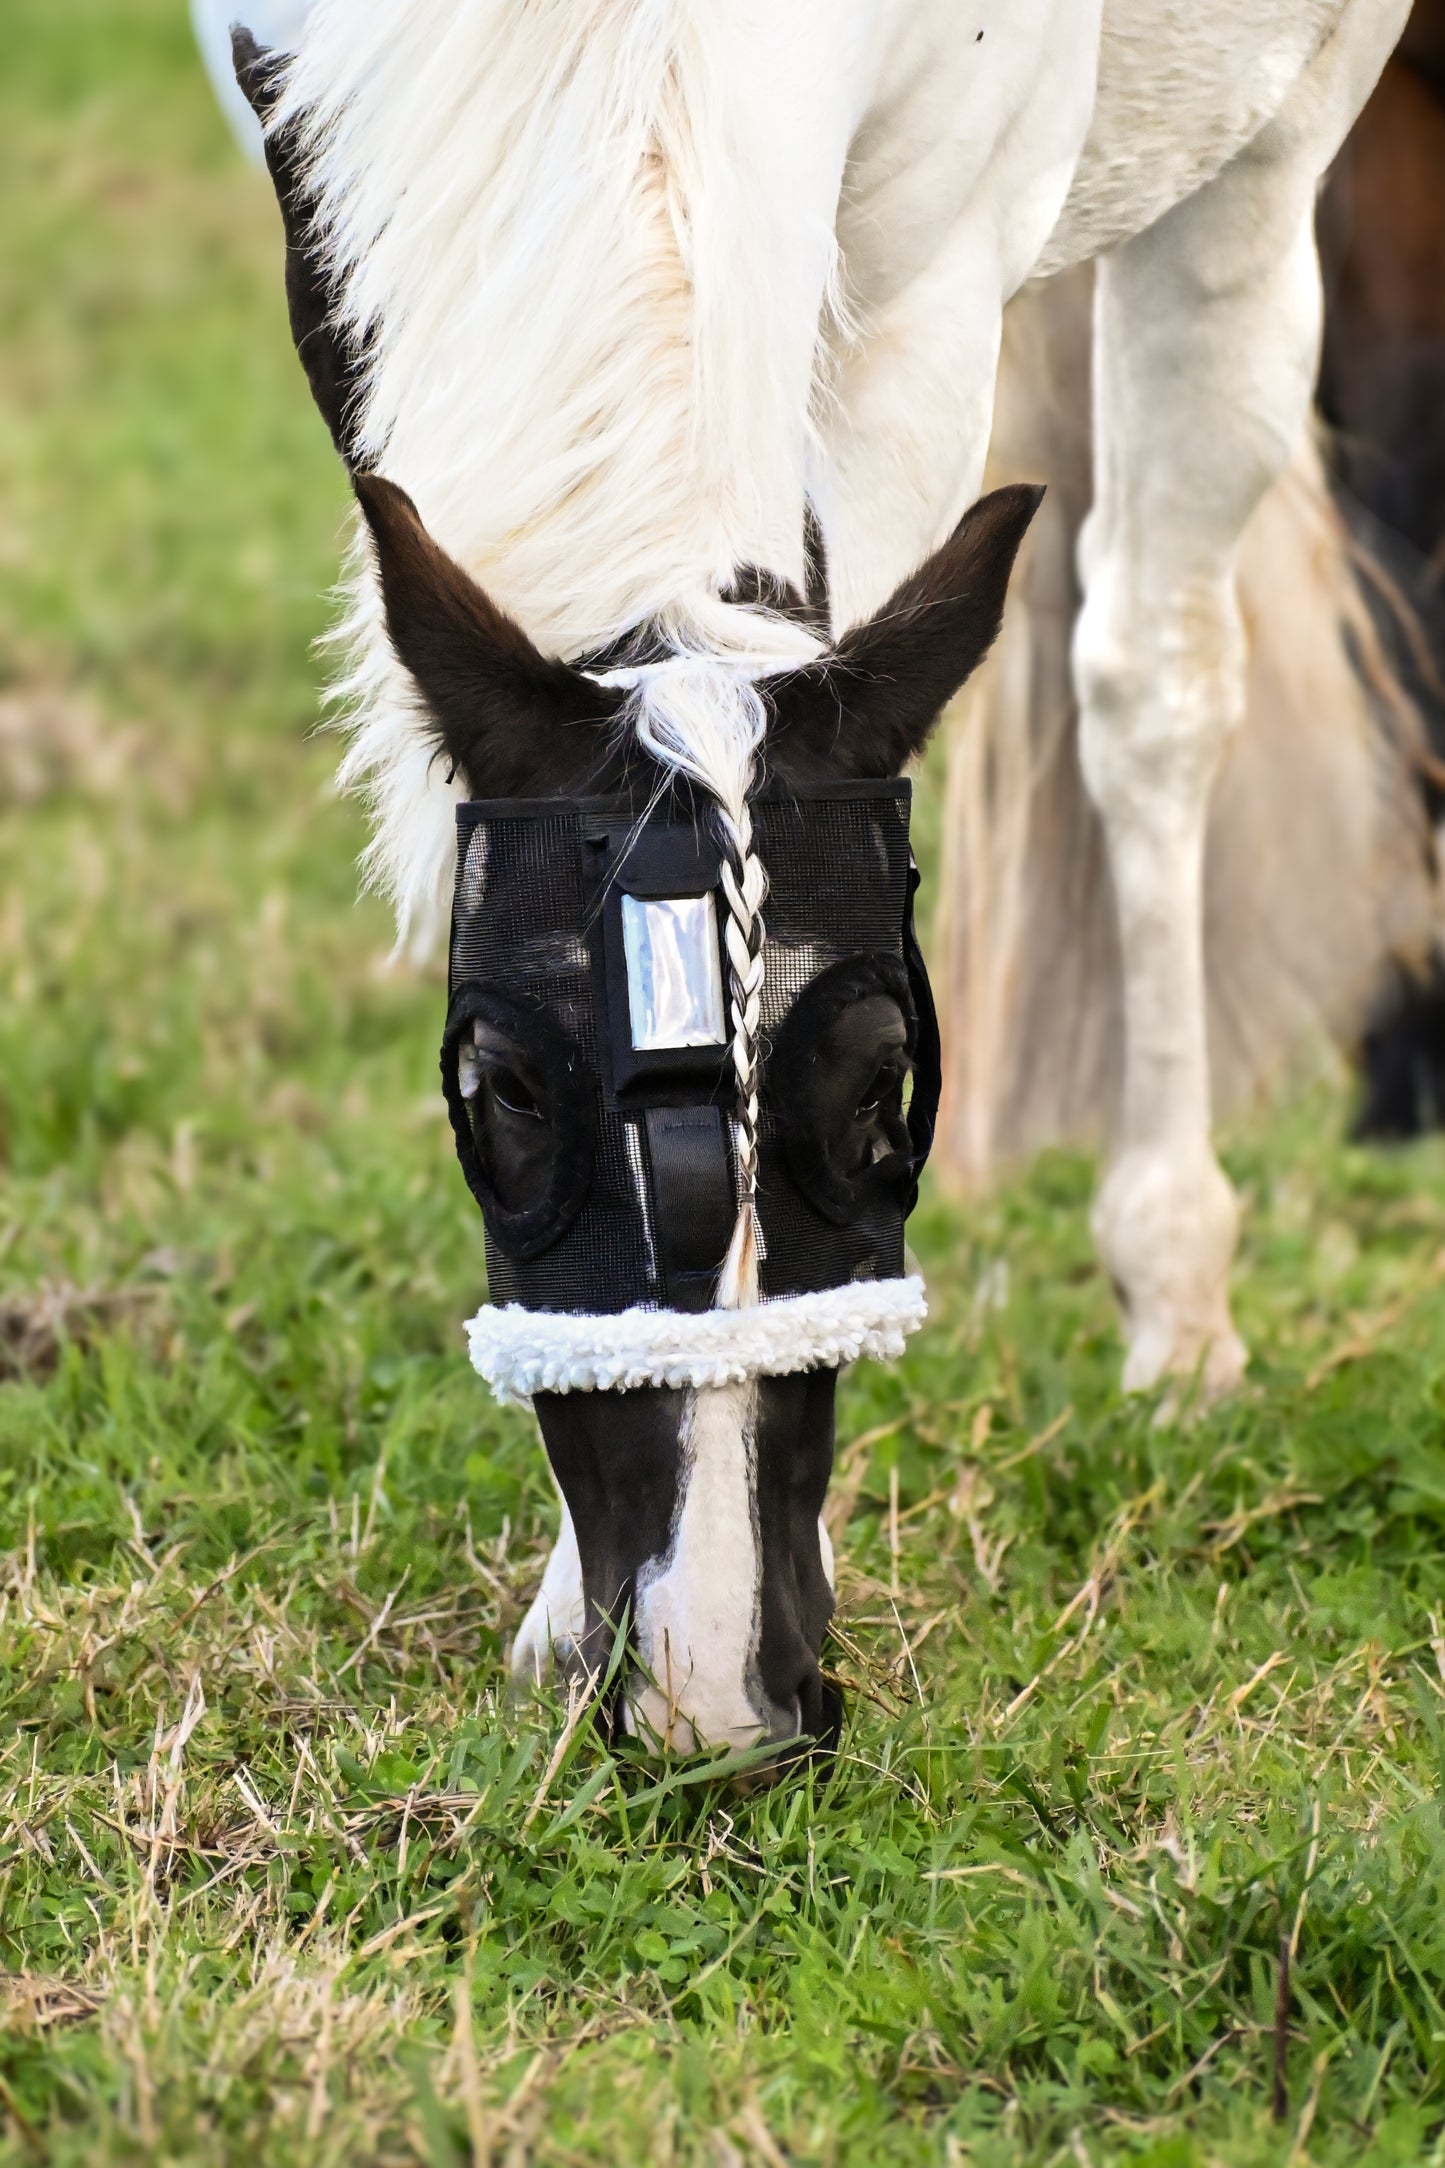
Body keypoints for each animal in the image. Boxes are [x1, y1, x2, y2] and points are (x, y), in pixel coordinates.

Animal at [235, 0, 1412, 1751]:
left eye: (884, 1084)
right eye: (501, 1086)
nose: (713, 1691)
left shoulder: (929, 282)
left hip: (1264, 158)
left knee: (1154, 669)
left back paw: (1176, 1296)